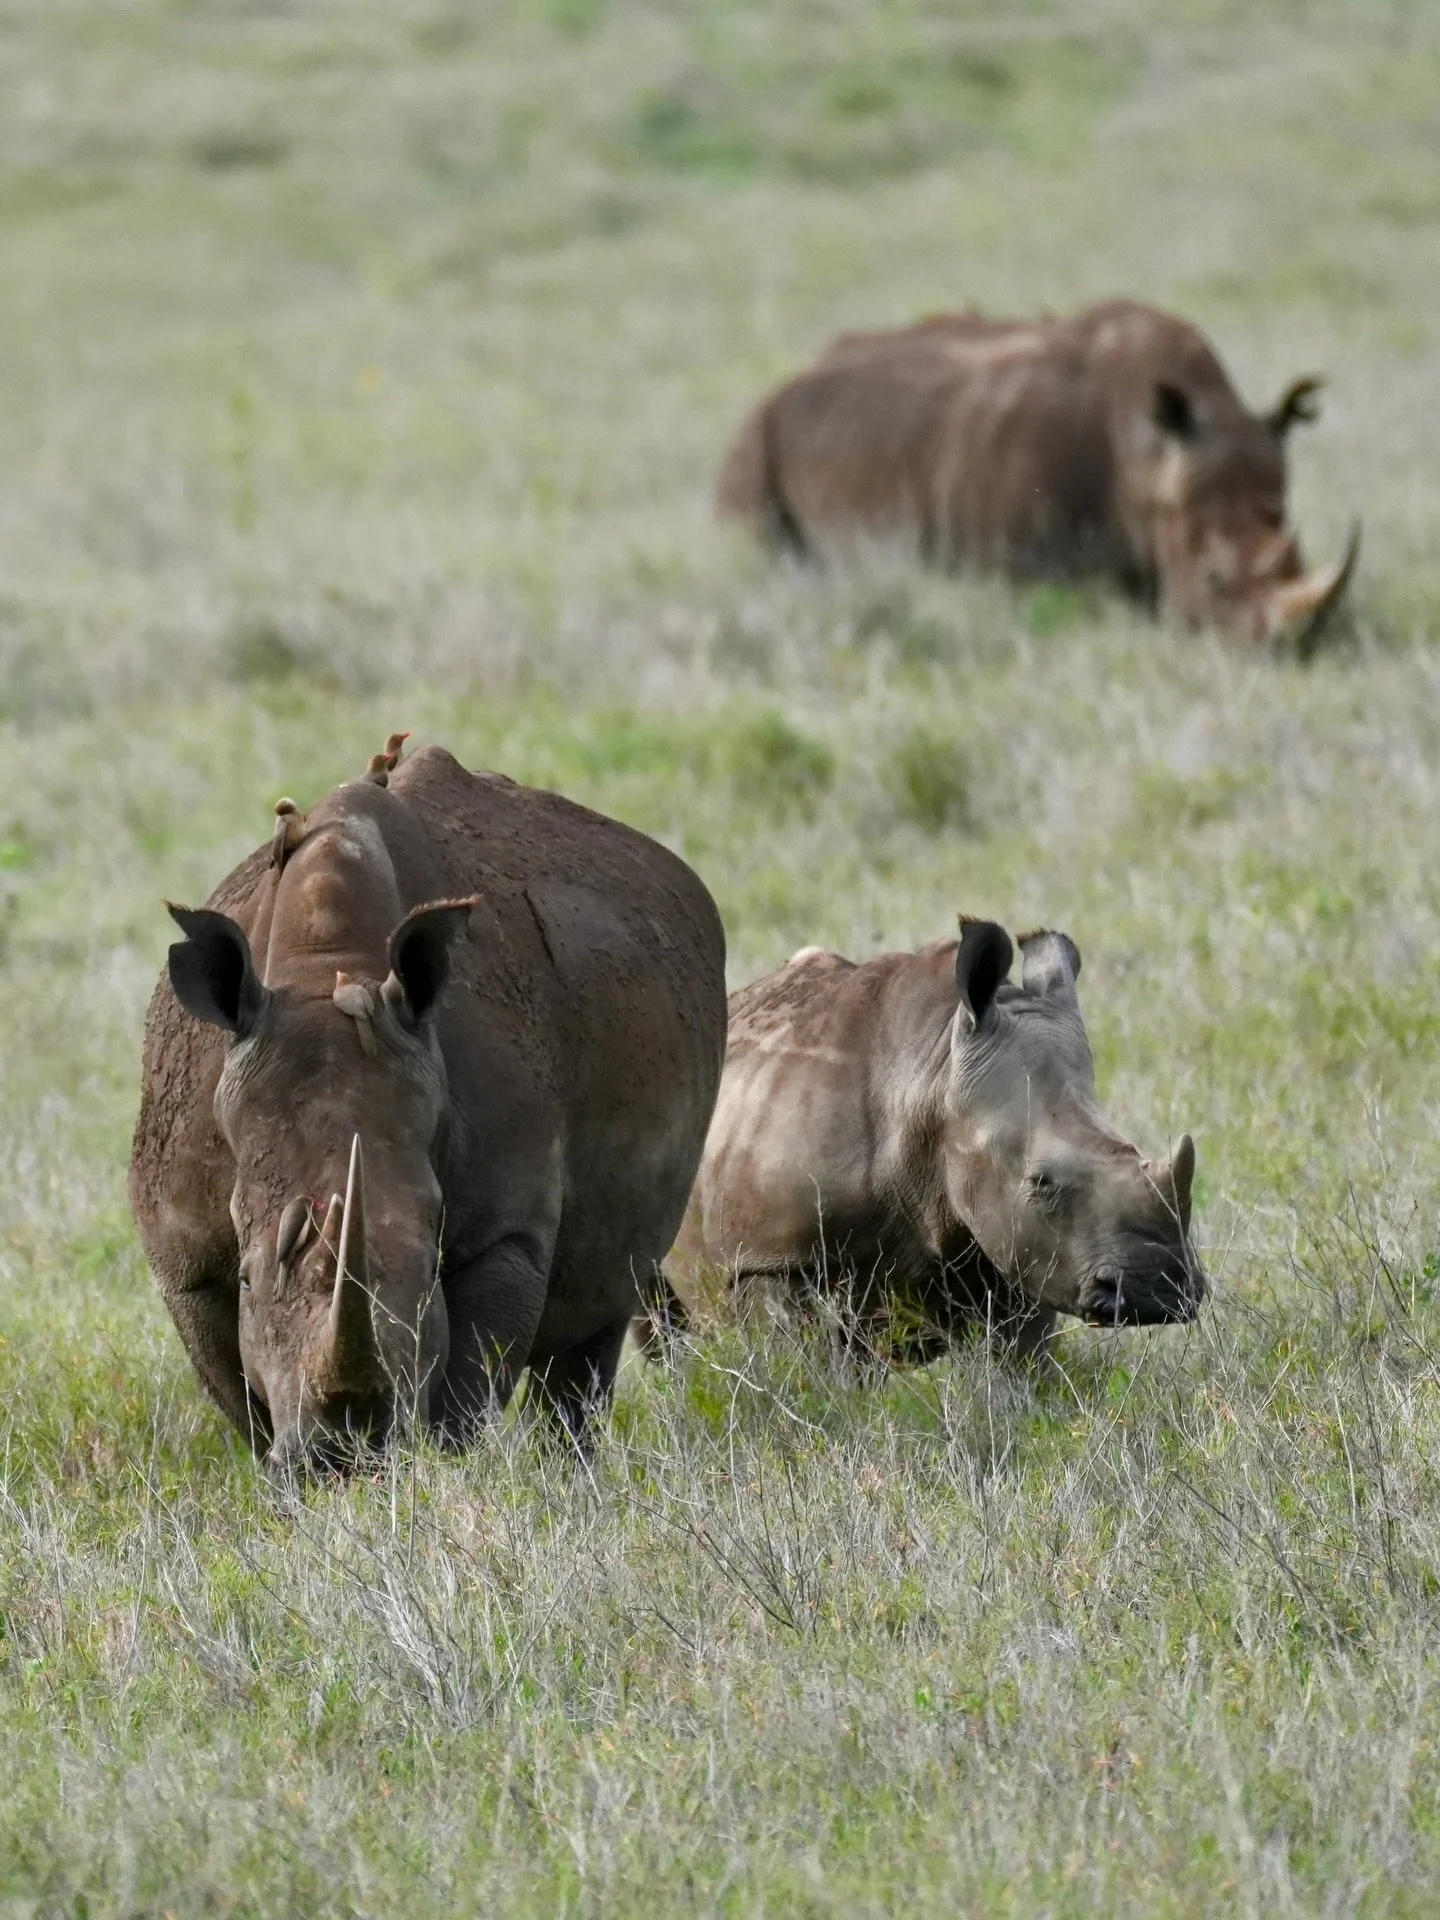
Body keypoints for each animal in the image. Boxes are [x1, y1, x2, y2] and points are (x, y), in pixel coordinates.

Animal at [129, 736, 727, 1476]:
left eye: (430, 1263)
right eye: (245, 1278)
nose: (347, 1457)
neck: (325, 967)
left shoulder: (506, 1233)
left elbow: (464, 1392)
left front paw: (431, 1476)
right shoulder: (185, 1261)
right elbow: (241, 1399)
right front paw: (289, 1487)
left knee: (600, 1317)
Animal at [663, 920, 1203, 1362]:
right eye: (1040, 1181)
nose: (1157, 1290)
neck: (934, 1074)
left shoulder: (1023, 1248)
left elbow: (1020, 1373)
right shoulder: (769, 1259)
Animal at [717, 299, 1359, 650]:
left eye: (1297, 552)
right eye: (1212, 580)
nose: (1297, 649)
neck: (1152, 457)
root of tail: (788, 380)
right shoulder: (1017, 558)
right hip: (753, 436)